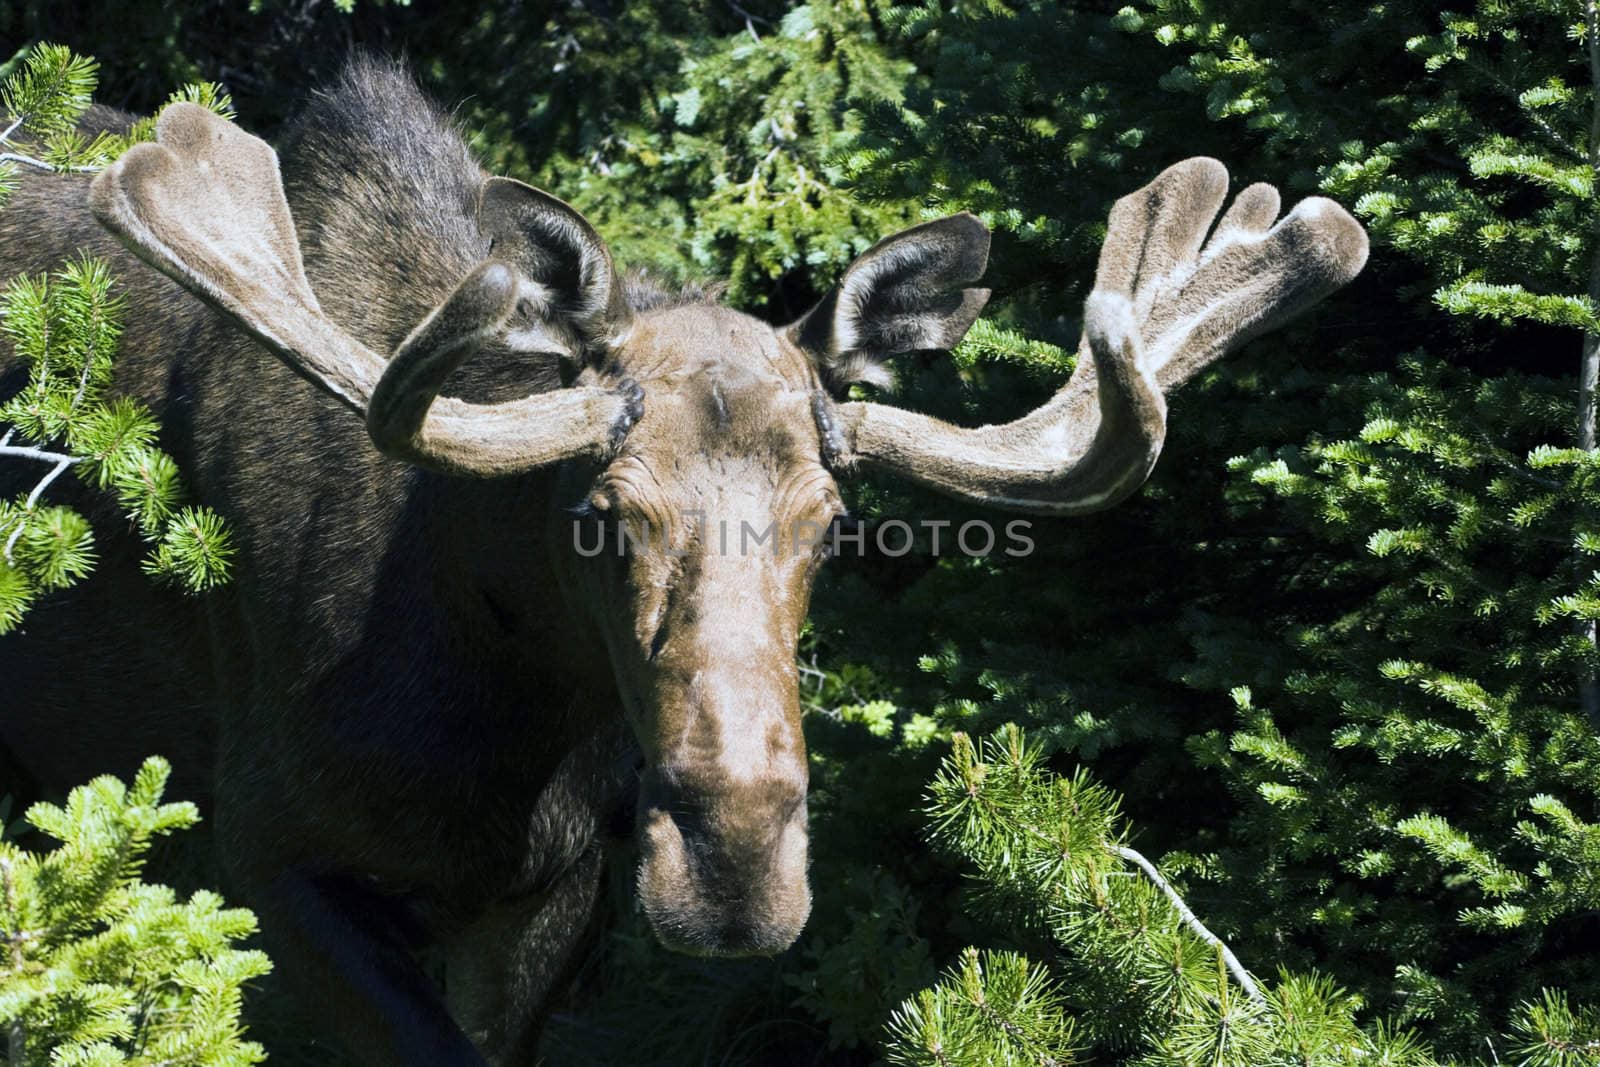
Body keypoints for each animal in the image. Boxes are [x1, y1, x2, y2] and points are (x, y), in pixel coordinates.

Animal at [3, 58, 1363, 1067]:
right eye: (601, 512)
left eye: (831, 517)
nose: (734, 866)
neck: (490, 707)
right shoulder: (270, 847)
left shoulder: (545, 887)